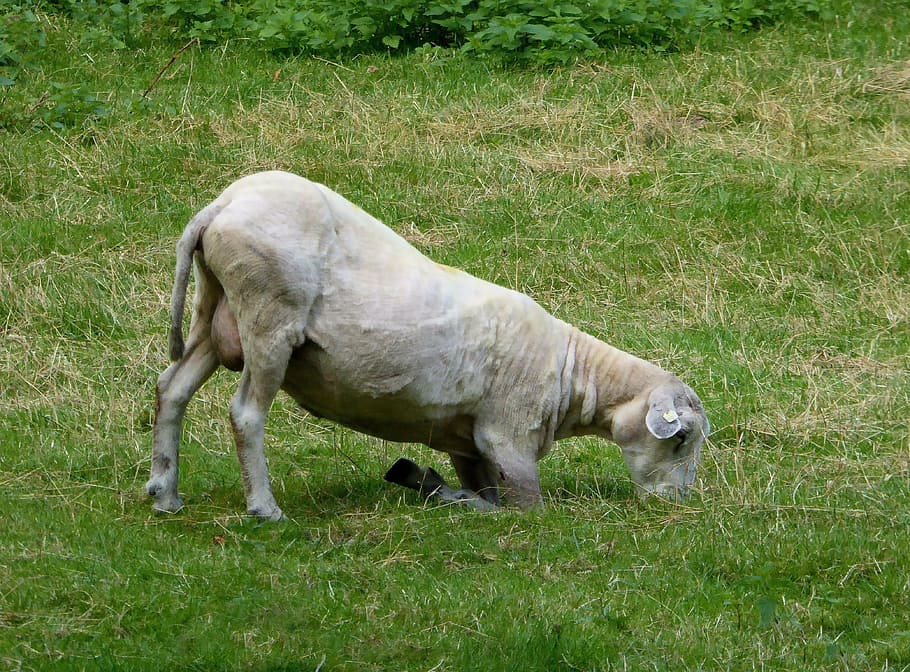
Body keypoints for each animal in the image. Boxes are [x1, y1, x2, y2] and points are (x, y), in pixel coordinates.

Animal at [146, 169, 708, 520]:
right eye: (681, 438)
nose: (678, 504)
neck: (573, 375)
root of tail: (221, 206)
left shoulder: (470, 441)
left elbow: (486, 490)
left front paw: (433, 485)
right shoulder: (509, 437)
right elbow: (523, 508)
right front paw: (440, 492)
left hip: (215, 313)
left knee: (171, 388)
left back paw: (164, 494)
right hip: (268, 316)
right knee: (245, 413)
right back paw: (264, 508)